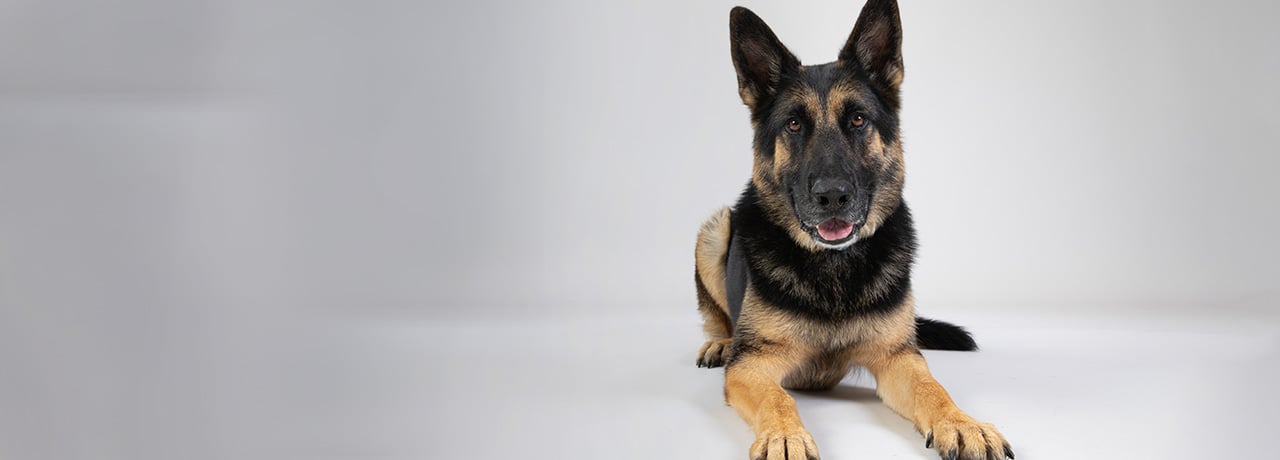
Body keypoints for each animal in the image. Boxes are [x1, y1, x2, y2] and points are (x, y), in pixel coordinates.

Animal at [696, 1, 1013, 458]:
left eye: (858, 120)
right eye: (794, 125)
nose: (832, 195)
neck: (834, 269)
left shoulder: (899, 359)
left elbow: (933, 389)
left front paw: (961, 423)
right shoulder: (752, 364)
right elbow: (778, 396)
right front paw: (784, 435)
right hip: (717, 228)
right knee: (718, 315)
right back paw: (720, 341)